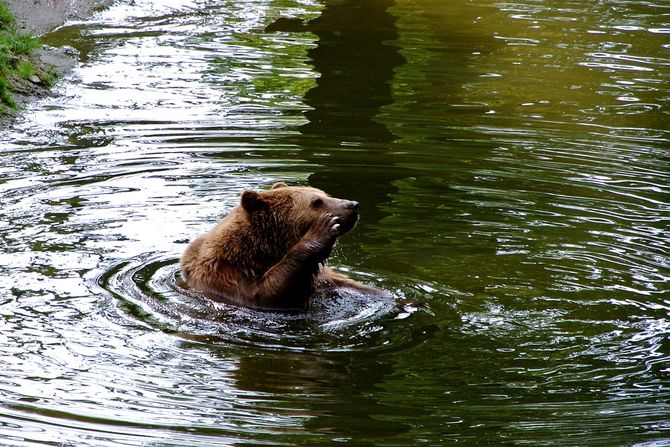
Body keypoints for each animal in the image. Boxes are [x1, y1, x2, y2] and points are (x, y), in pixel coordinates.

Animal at [180, 182, 384, 312]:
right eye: (316, 202)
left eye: (325, 194)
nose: (353, 205)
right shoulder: (226, 277)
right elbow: (269, 292)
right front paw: (323, 230)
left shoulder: (328, 280)